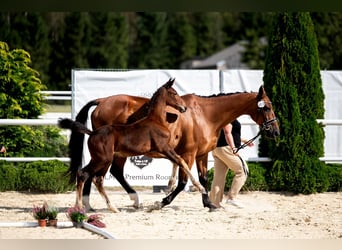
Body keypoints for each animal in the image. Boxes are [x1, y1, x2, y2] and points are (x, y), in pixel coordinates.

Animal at [58, 78, 206, 211]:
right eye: (174, 93)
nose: (184, 107)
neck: (155, 120)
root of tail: (92, 132)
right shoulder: (164, 148)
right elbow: (181, 161)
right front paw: (200, 188)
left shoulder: (158, 150)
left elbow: (177, 161)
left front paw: (170, 186)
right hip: (103, 159)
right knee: (86, 174)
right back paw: (82, 206)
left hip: (102, 159)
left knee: (96, 177)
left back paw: (106, 207)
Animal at [69, 83, 278, 211]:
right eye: (267, 107)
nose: (275, 131)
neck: (206, 114)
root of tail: (102, 101)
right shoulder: (188, 154)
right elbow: (183, 182)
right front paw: (162, 202)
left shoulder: (201, 154)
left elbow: (203, 179)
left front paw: (209, 203)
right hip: (113, 154)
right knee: (104, 173)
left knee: (104, 173)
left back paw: (92, 205)